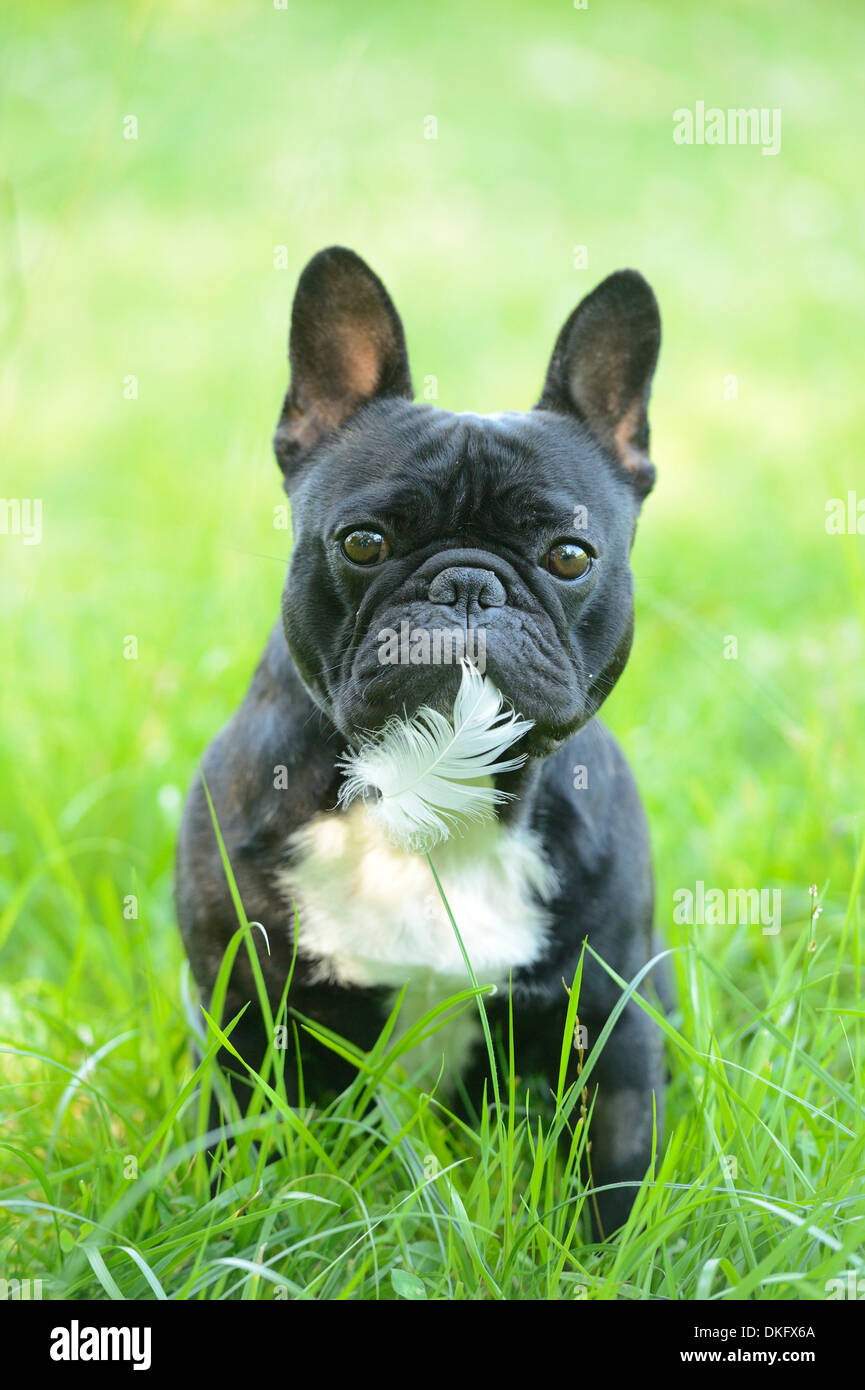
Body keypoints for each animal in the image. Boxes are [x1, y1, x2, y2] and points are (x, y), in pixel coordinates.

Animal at [174, 247, 664, 1239]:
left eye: (568, 558)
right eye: (364, 542)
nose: (469, 585)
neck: (433, 791)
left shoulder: (608, 1022)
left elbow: (612, 1179)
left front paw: (607, 1257)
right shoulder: (247, 1016)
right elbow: (238, 1159)